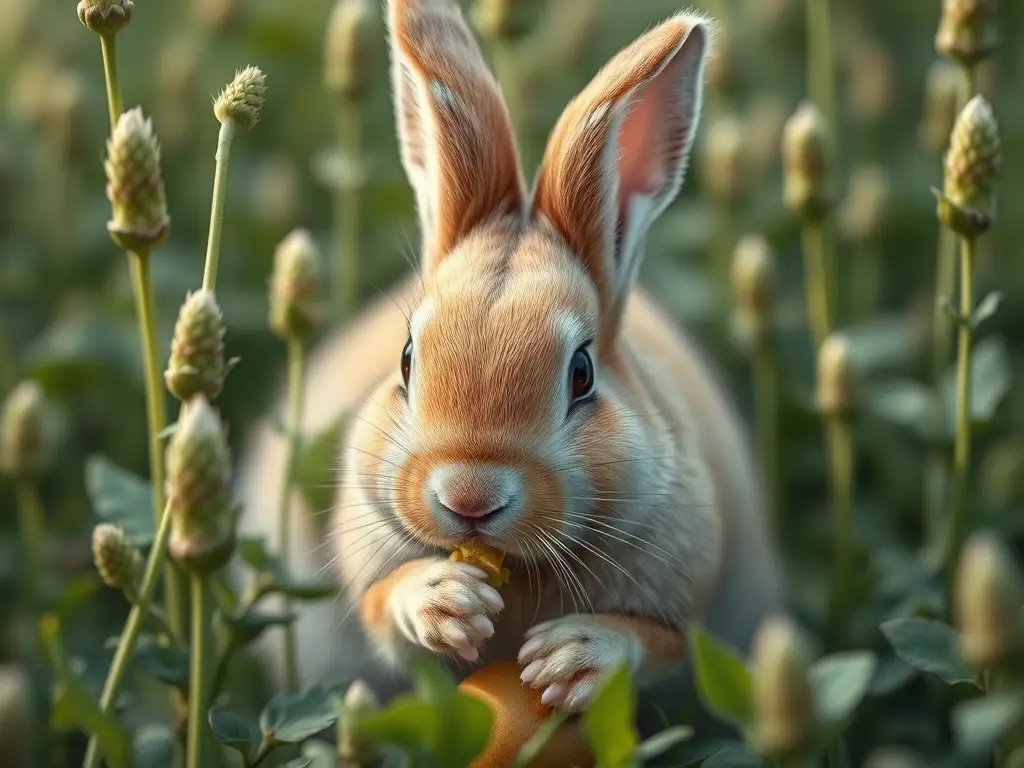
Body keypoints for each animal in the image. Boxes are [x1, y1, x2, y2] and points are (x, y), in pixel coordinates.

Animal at [235, 0, 783, 748]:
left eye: (581, 373)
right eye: (407, 359)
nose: (469, 499)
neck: (517, 567)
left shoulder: (682, 592)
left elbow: (659, 642)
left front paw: (573, 658)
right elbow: (383, 604)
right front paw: (443, 604)